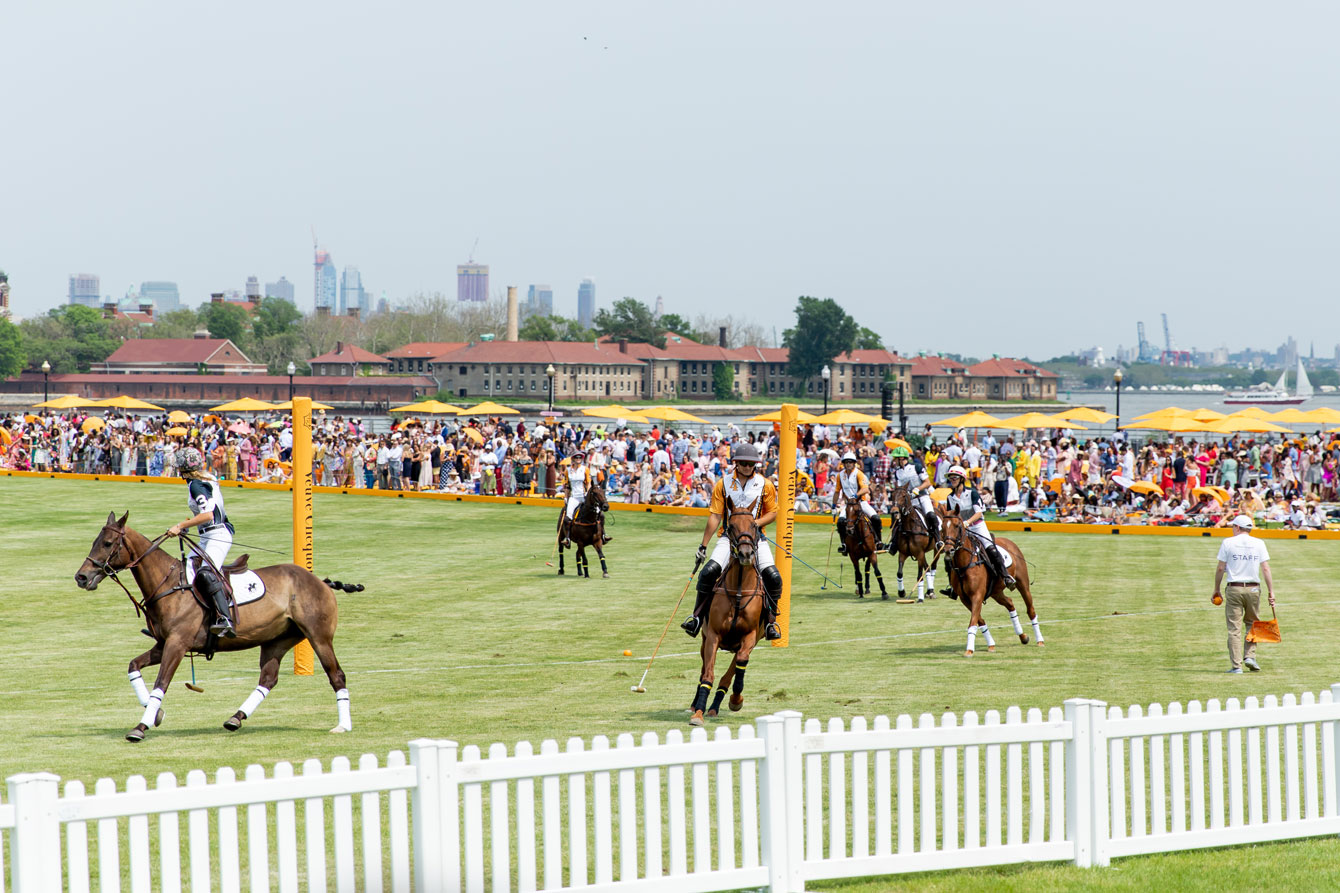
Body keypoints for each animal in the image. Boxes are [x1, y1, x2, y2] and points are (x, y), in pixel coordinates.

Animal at [691, 496, 766, 729]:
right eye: (731, 526)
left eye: (754, 526)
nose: (746, 554)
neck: (739, 591)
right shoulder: (713, 635)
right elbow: (708, 675)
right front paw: (698, 713)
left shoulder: (751, 637)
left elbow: (737, 667)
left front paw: (736, 700)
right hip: (704, 639)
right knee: (703, 670)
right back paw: (696, 704)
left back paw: (716, 706)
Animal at [932, 506, 1045, 654]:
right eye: (942, 527)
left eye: (957, 526)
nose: (947, 550)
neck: (965, 563)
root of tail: (1010, 542)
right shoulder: (965, 598)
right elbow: (979, 620)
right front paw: (990, 644)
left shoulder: (977, 595)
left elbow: (973, 621)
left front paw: (969, 650)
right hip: (996, 591)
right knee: (1010, 603)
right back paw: (1023, 636)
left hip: (1023, 584)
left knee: (1030, 609)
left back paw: (1040, 640)